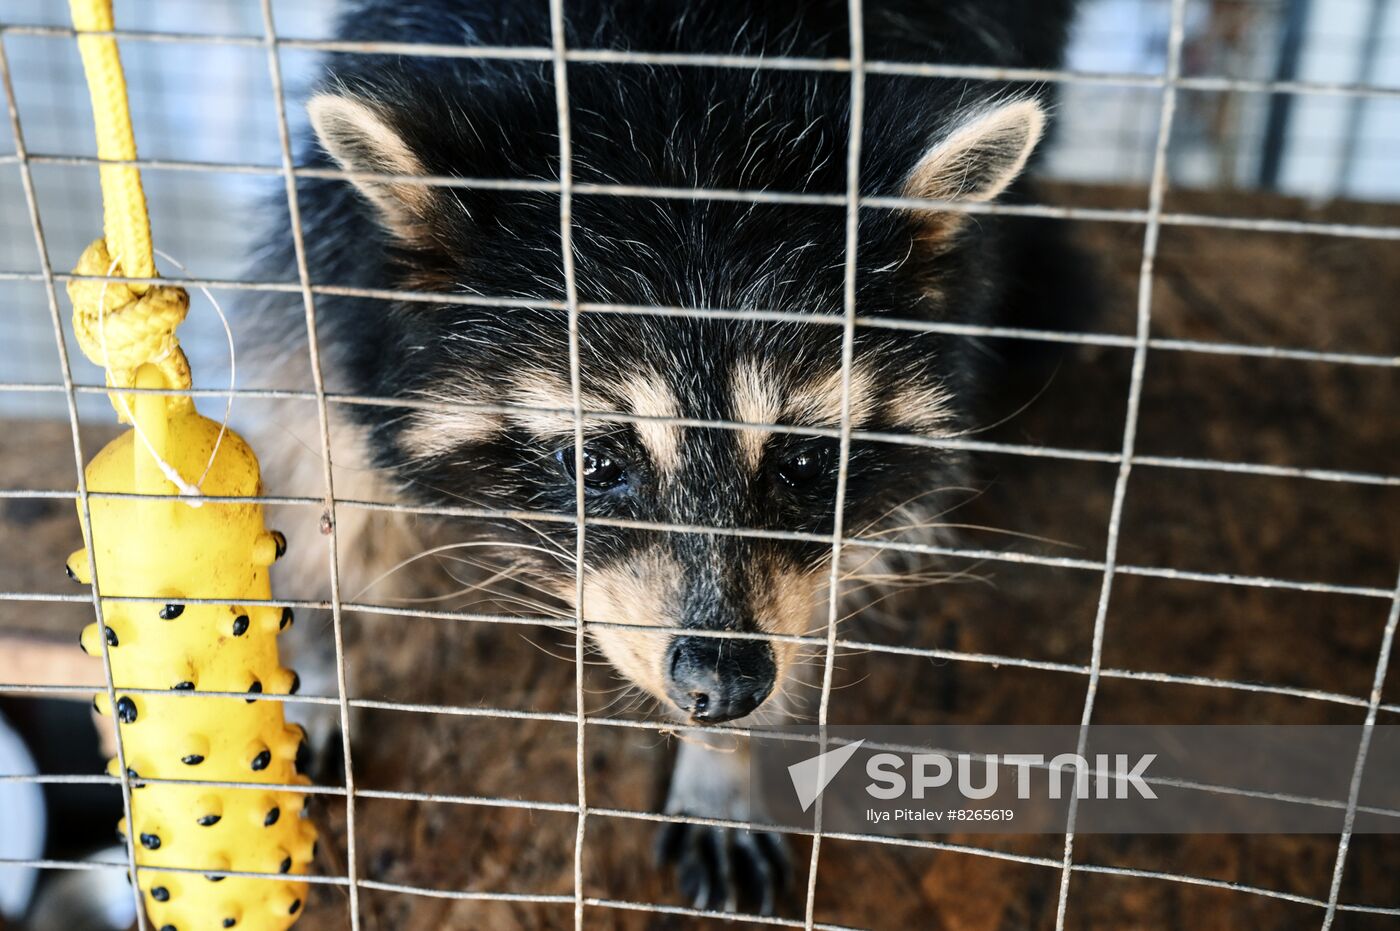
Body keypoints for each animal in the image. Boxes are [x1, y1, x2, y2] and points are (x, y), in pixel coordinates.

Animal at [243, 0, 1069, 912]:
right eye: (596, 462)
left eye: (805, 462)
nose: (728, 685)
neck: (679, 99)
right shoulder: (337, 248)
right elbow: (322, 446)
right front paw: (323, 639)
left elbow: (811, 586)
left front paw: (725, 761)